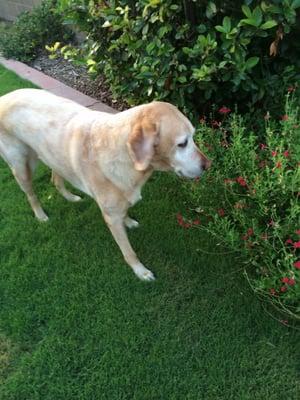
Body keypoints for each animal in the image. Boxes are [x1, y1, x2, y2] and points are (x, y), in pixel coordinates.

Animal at [0, 89, 211, 280]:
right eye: (182, 143)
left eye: (193, 136)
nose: (208, 165)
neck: (125, 156)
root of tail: (5, 97)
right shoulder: (111, 217)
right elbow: (128, 251)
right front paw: (140, 271)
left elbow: (124, 212)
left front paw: (129, 221)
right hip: (23, 165)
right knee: (31, 194)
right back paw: (41, 215)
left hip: (53, 157)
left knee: (55, 179)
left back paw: (70, 197)